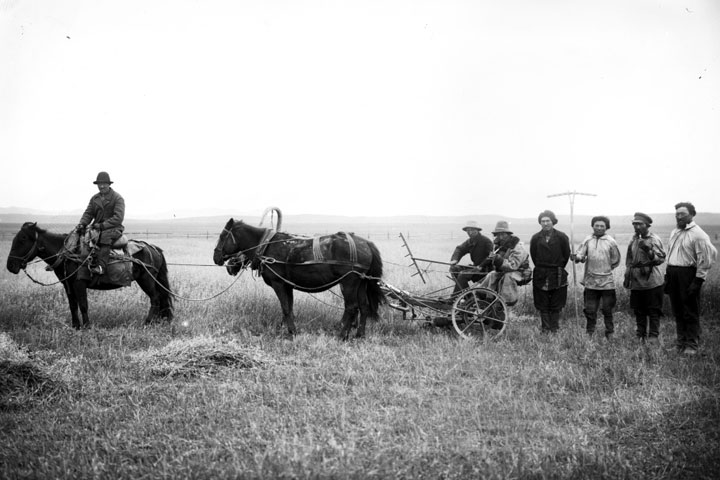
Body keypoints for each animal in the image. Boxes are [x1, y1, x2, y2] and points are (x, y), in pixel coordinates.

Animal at [6, 222, 174, 328]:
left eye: (22, 239)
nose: (10, 266)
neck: (69, 253)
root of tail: (153, 248)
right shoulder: (68, 285)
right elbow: (73, 305)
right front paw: (75, 326)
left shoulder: (79, 284)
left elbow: (83, 305)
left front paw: (86, 326)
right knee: (160, 298)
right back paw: (158, 321)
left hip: (146, 280)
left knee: (155, 298)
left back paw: (148, 322)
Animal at [212, 216, 386, 340]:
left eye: (222, 236)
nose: (216, 258)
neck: (266, 245)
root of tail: (366, 243)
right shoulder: (287, 285)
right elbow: (289, 308)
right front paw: (284, 329)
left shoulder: (278, 284)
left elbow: (285, 307)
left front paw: (292, 332)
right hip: (362, 282)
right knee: (364, 306)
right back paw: (360, 334)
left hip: (349, 282)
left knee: (351, 307)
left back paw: (342, 335)